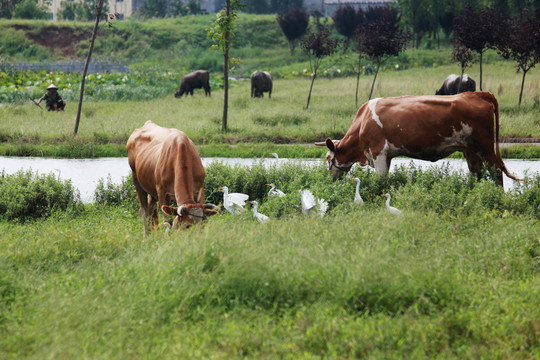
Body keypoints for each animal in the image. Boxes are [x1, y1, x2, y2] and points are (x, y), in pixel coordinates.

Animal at [316, 91, 520, 187]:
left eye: (327, 158)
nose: (329, 179)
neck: (363, 121)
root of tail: (477, 94)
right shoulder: (386, 156)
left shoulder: (378, 152)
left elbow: (380, 179)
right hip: (470, 151)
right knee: (476, 174)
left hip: (485, 148)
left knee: (496, 172)